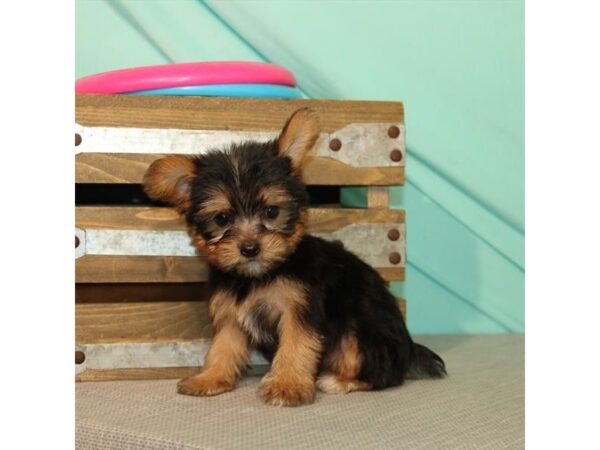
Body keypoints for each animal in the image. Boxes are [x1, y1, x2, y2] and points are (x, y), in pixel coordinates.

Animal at [144, 107, 446, 406]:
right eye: (222, 219)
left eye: (271, 212)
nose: (250, 248)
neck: (258, 276)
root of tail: (409, 349)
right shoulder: (231, 313)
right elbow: (223, 346)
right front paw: (210, 378)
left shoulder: (299, 309)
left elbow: (295, 345)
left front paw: (287, 385)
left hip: (361, 333)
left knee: (382, 374)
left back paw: (339, 381)